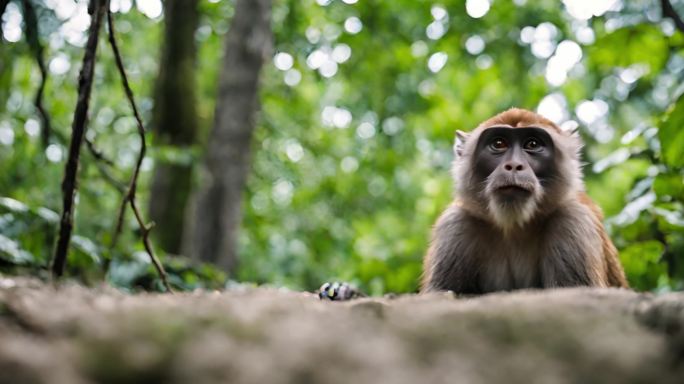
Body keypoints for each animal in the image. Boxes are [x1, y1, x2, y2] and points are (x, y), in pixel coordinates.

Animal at [422, 106, 632, 292]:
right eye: (499, 144)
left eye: (532, 144)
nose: (514, 165)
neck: (514, 226)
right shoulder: (455, 226)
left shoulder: (573, 223)